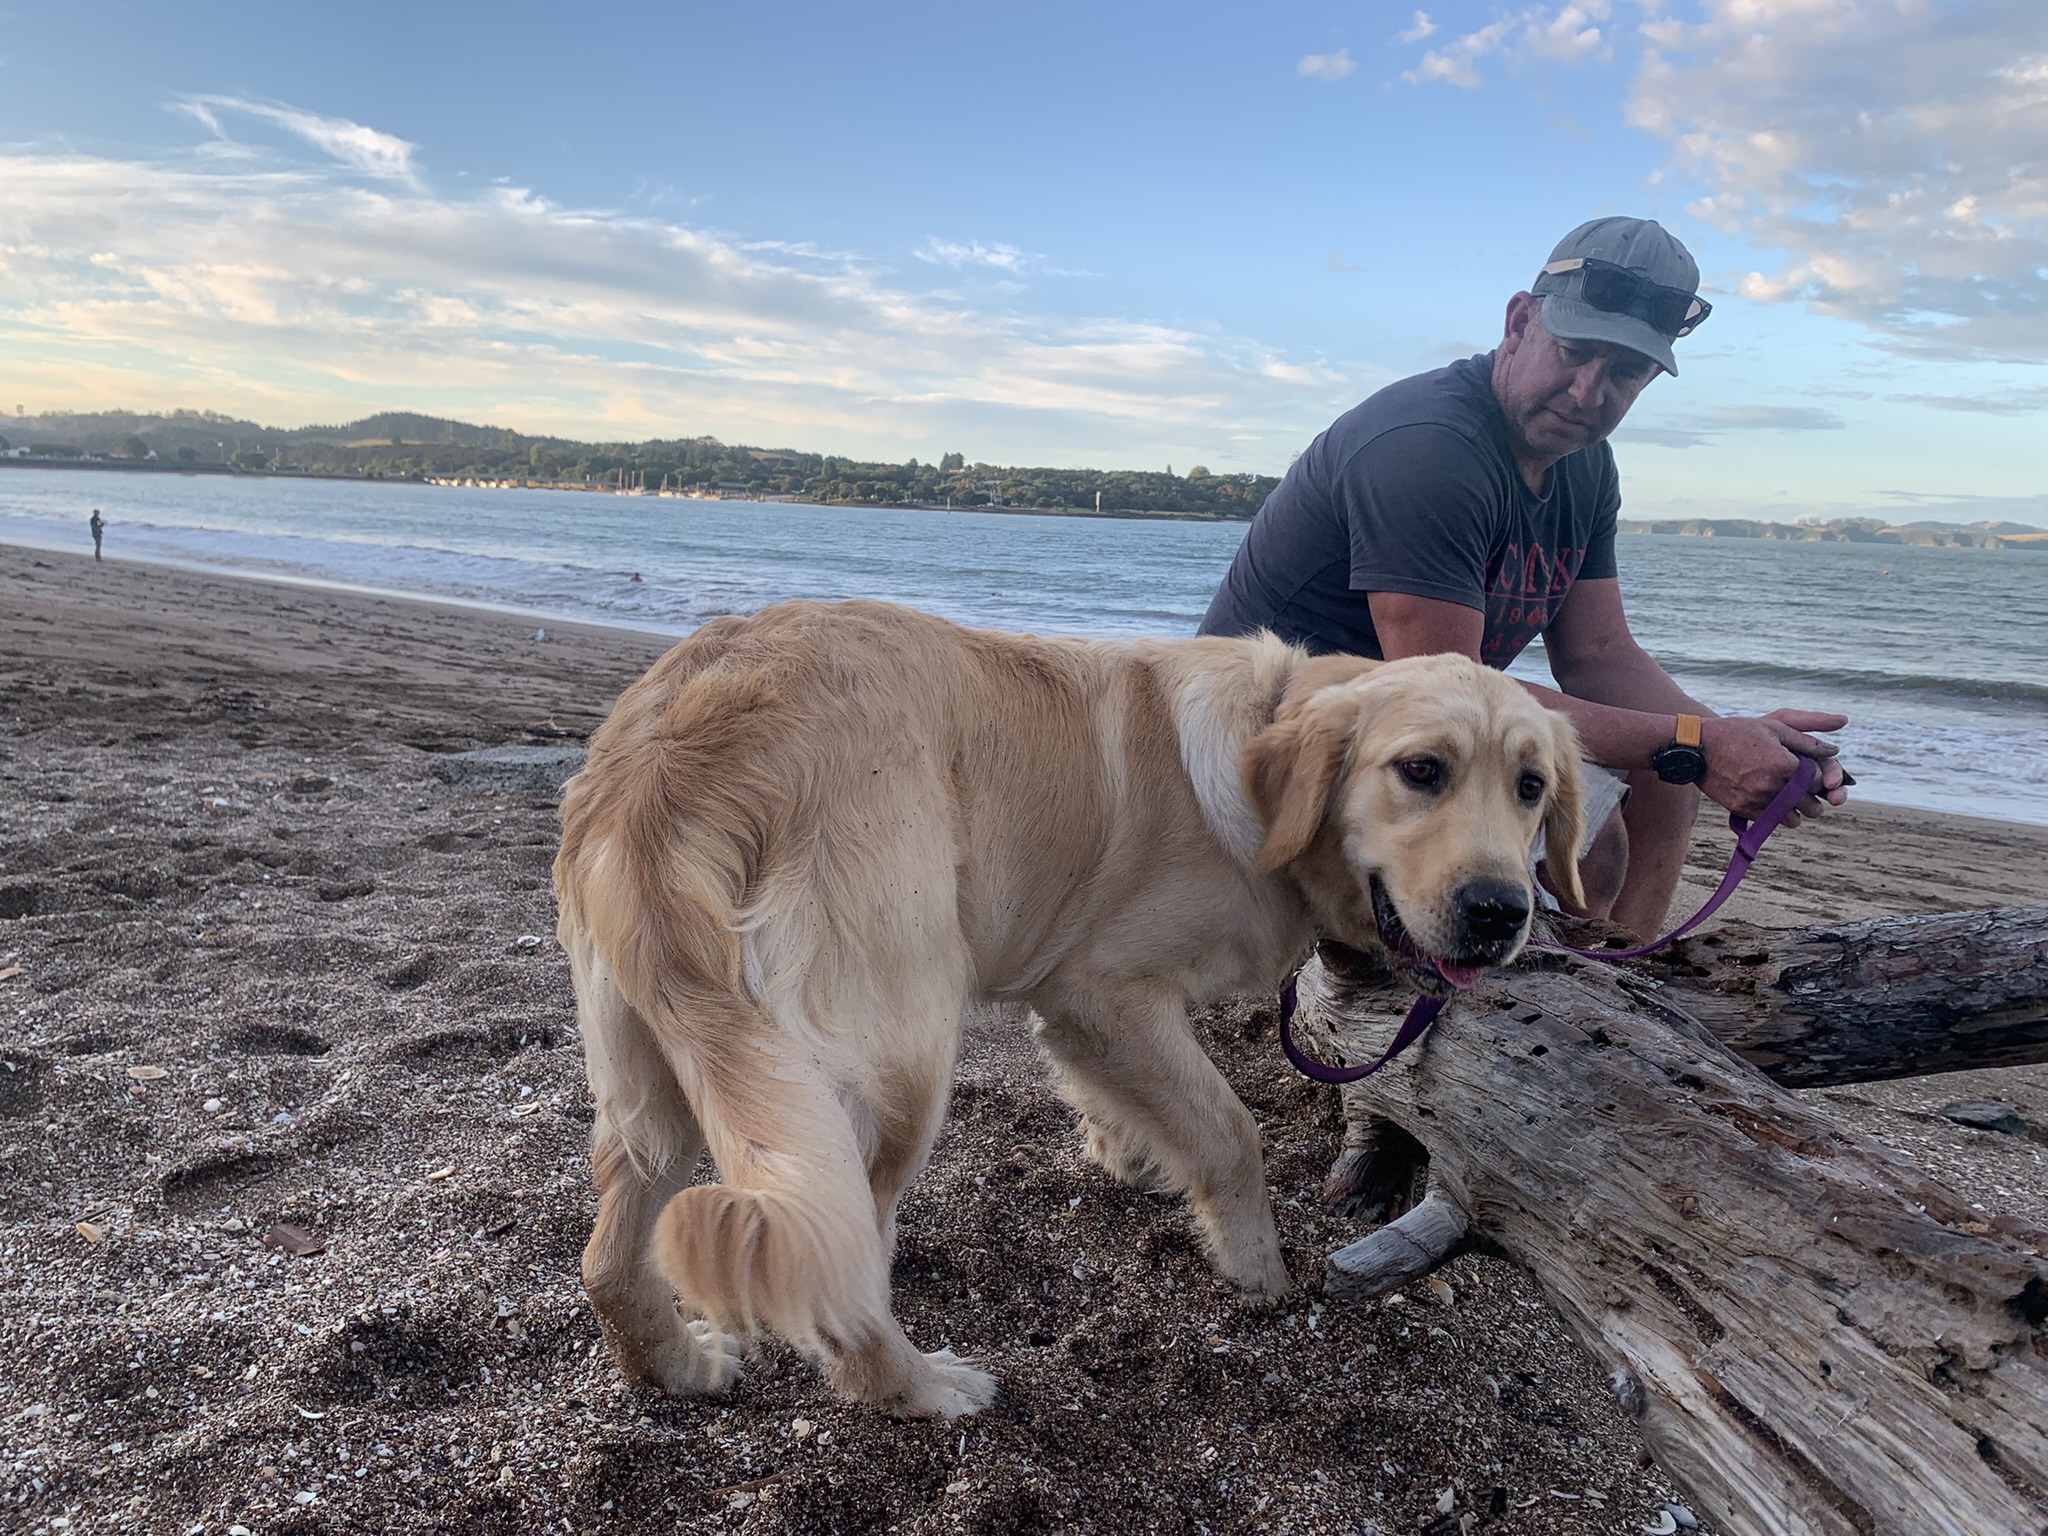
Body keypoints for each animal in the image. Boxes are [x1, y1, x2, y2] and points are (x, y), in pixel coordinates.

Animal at [548, 602, 1581, 1417]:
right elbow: (1229, 1129)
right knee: (841, 1269)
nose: (1501, 911)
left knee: (610, 1254)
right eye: (1422, 770)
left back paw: (676, 1364)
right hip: (891, 1061)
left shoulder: (1081, 1014)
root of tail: (671, 751)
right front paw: (1258, 1269)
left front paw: (1125, 1148)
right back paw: (922, 1389)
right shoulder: (1102, 991)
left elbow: (1125, 1100)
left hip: (673, 1065)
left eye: (1531, 787)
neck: (1266, 762)